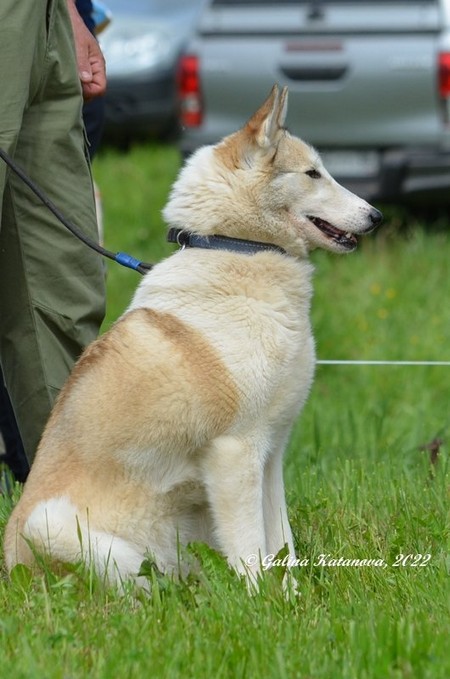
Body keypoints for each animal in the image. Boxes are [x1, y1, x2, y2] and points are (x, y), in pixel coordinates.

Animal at [4, 85, 382, 590]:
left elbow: (282, 545)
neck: (236, 245)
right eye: (312, 173)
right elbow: (253, 551)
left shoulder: (271, 455)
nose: (376, 216)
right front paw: (260, 602)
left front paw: (293, 600)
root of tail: (9, 572)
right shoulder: (236, 452)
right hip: (53, 524)